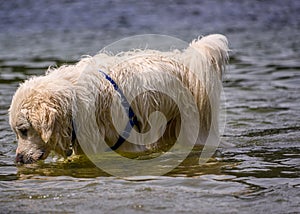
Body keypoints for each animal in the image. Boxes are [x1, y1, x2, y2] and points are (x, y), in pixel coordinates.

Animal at [8, 33, 230, 164]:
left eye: (24, 130)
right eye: (18, 132)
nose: (18, 159)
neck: (73, 103)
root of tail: (186, 61)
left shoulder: (127, 143)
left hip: (191, 128)